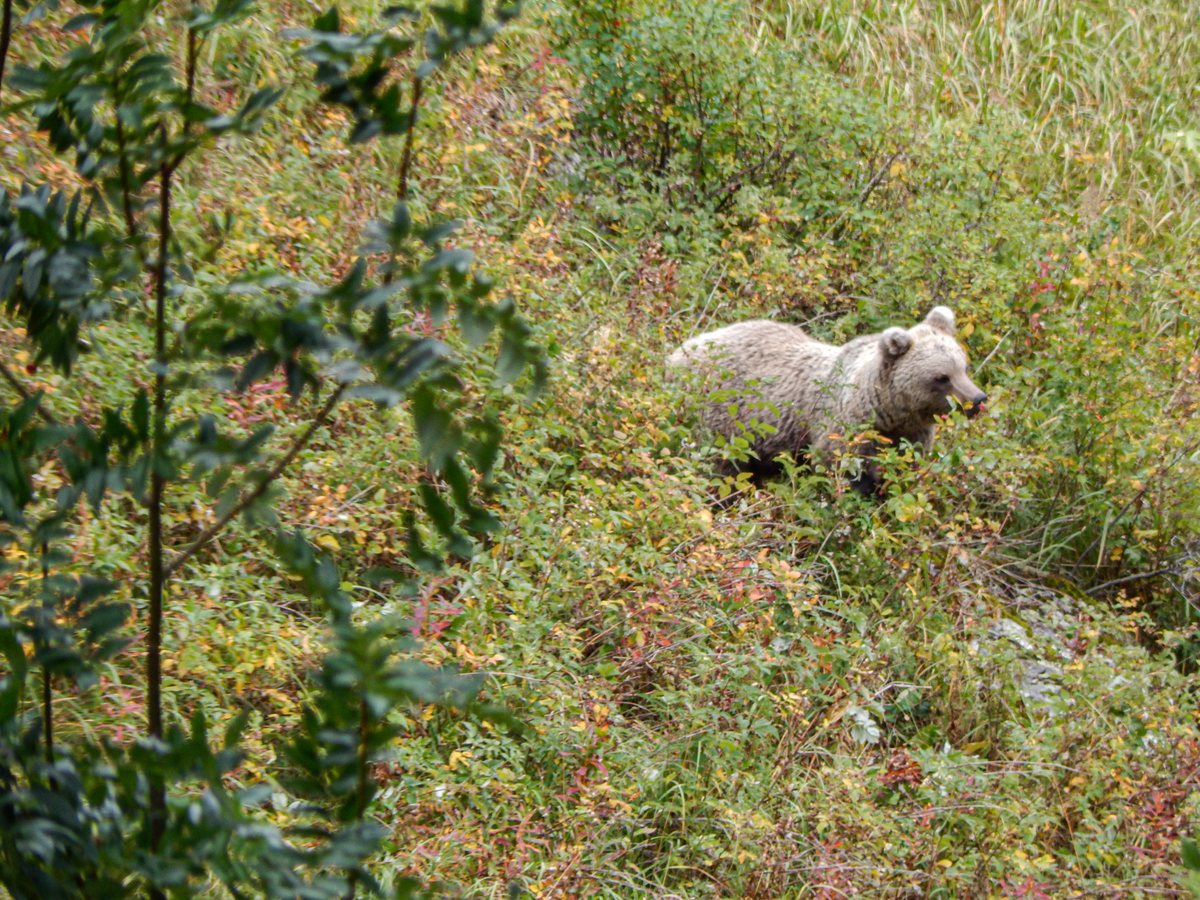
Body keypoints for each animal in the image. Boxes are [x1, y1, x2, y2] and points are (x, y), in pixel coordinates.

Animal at [667, 306, 987, 496]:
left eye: (964, 367)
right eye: (942, 377)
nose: (977, 399)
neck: (890, 411)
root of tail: (681, 349)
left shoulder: (911, 436)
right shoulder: (844, 431)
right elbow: (838, 473)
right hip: (721, 419)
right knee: (719, 466)